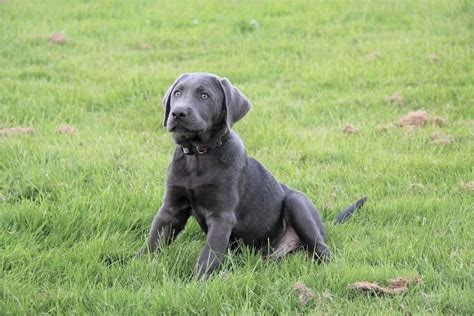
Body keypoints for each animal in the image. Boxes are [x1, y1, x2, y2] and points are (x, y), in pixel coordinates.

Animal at [137, 72, 366, 278]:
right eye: (177, 93)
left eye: (204, 95)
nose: (178, 113)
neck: (199, 155)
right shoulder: (171, 209)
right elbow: (153, 240)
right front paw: (135, 266)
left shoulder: (222, 216)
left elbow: (209, 255)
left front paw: (196, 284)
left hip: (296, 202)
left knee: (320, 248)